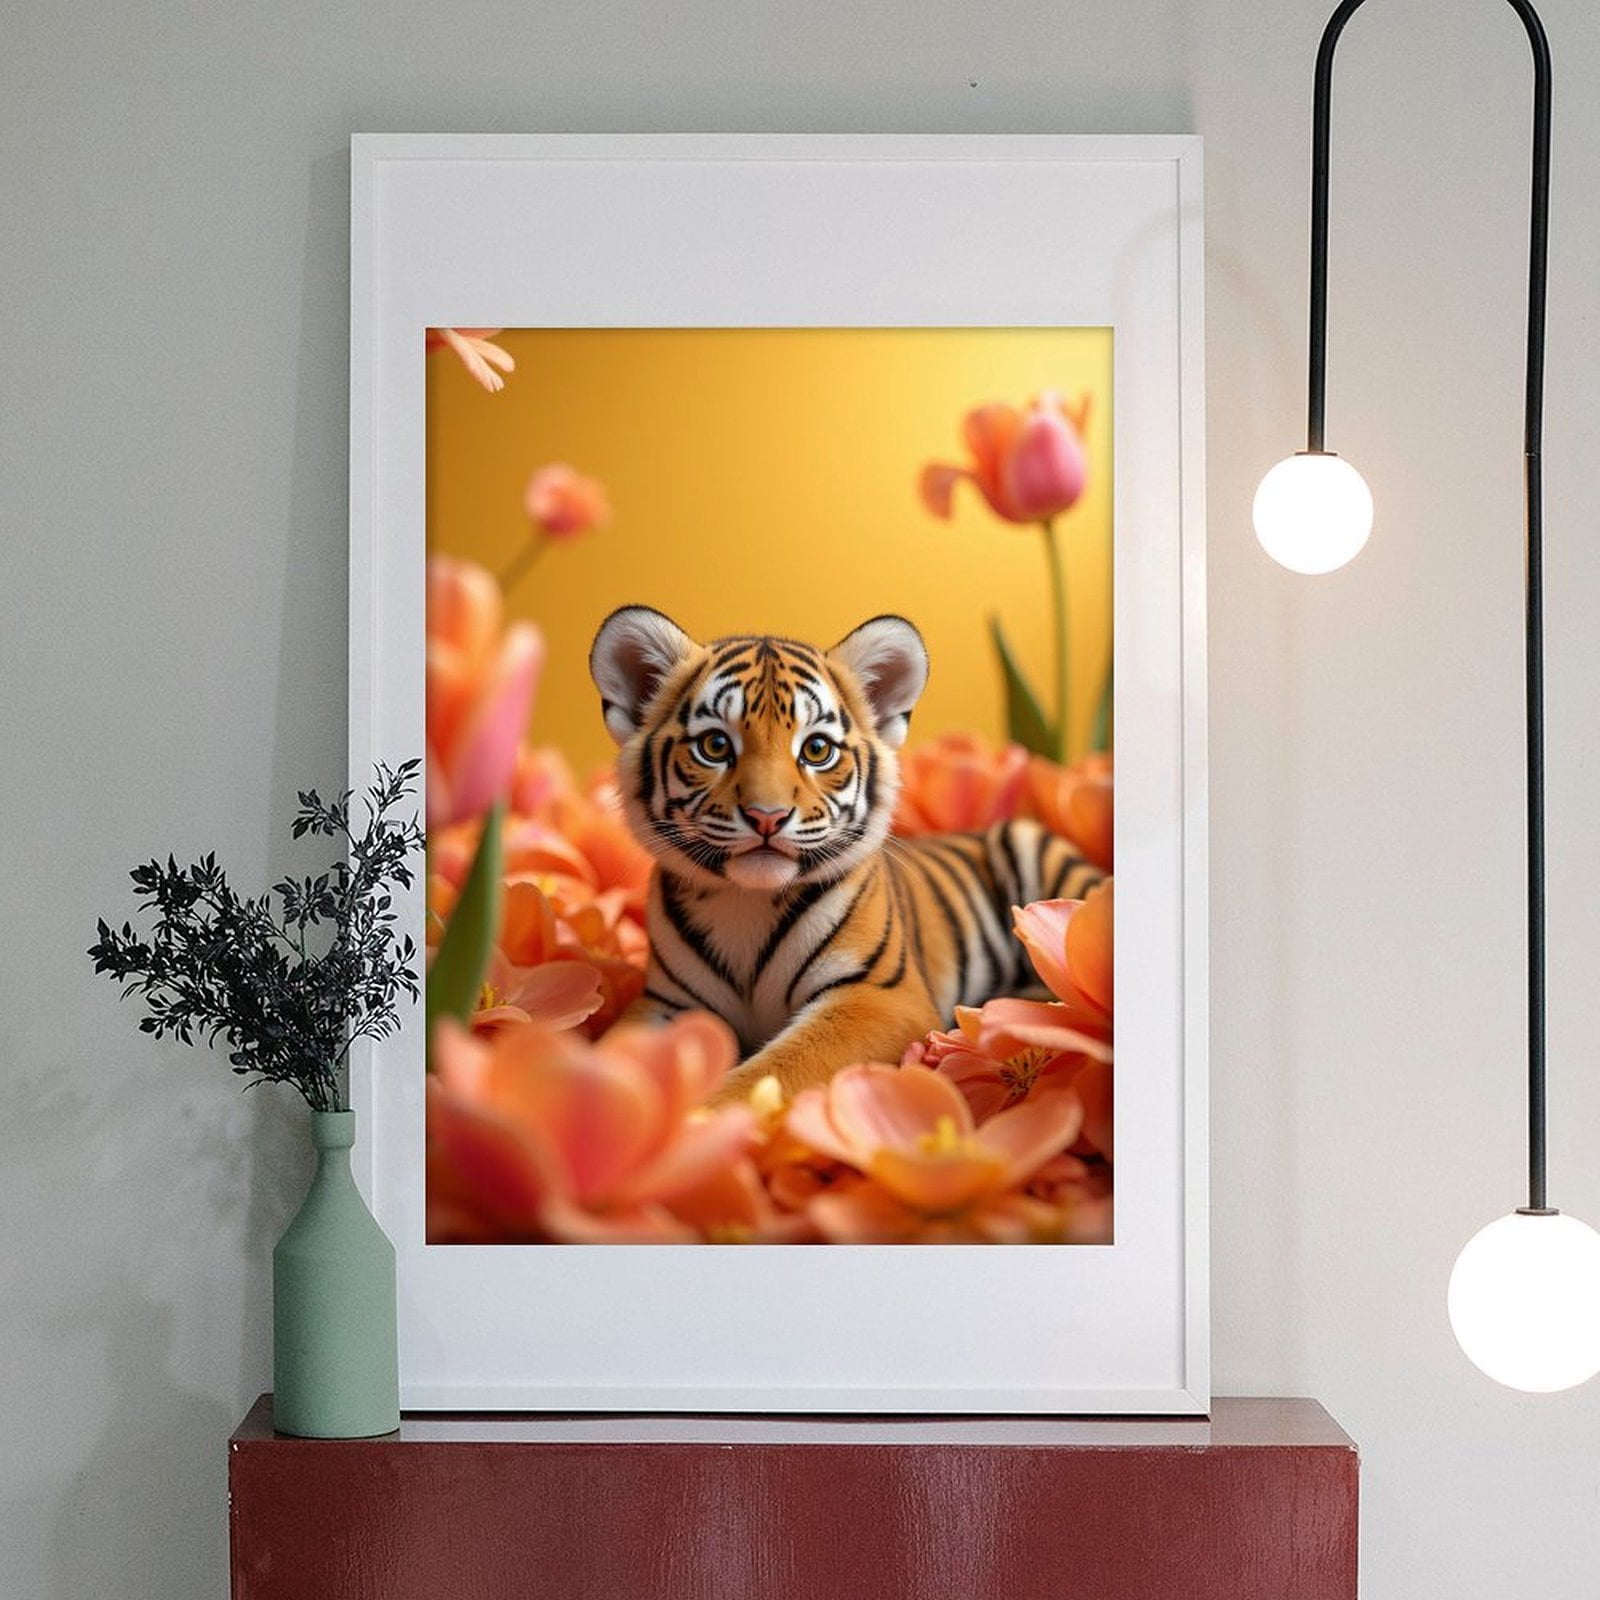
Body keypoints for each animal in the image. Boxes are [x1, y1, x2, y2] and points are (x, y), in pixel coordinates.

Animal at [589, 606, 1104, 1104]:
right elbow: (611, 1055)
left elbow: (771, 1071)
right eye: (715, 746)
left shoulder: (879, 998)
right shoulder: (668, 1003)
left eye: (817, 749)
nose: (766, 816)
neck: (746, 904)